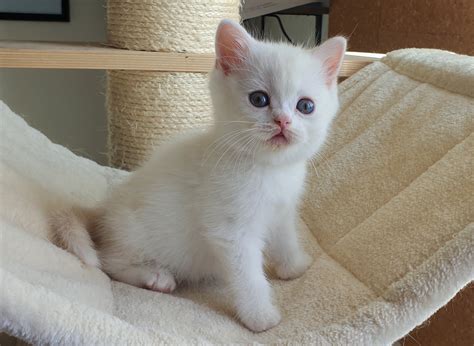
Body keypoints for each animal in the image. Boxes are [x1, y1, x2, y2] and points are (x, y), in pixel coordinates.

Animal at [51, 19, 346, 332]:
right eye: (259, 99)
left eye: (306, 106)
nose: (283, 121)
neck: (268, 169)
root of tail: (104, 209)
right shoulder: (231, 231)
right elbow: (248, 277)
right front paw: (260, 316)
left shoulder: (282, 210)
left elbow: (285, 238)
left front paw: (294, 266)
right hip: (138, 234)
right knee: (108, 261)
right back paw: (154, 277)